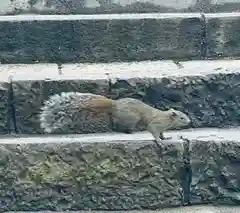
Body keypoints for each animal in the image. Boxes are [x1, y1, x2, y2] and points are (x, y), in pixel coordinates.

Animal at [39, 92, 190, 150]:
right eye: (182, 117)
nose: (189, 121)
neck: (167, 118)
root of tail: (114, 105)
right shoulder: (156, 123)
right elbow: (153, 131)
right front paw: (159, 142)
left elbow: (162, 134)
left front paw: (165, 137)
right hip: (132, 118)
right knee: (121, 125)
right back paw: (129, 132)